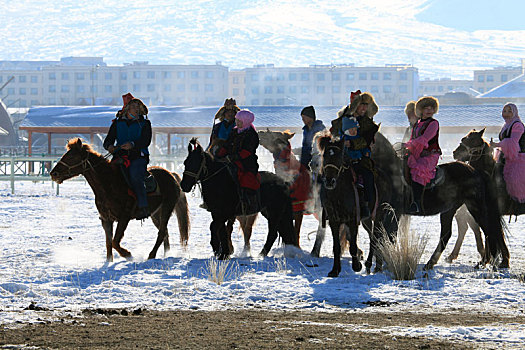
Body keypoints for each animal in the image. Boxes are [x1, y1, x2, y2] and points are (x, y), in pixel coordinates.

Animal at [49, 138, 190, 262]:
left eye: (72, 156)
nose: (53, 174)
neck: (109, 184)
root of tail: (171, 175)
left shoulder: (124, 218)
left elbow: (115, 242)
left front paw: (128, 255)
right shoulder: (106, 219)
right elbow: (108, 242)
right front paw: (109, 261)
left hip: (166, 208)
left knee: (161, 233)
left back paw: (151, 255)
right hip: (155, 214)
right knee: (164, 232)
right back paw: (166, 254)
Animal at [368, 131, 508, 270]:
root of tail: (476, 172)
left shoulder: (394, 212)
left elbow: (387, 236)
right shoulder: (382, 211)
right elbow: (378, 235)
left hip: (475, 207)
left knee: (489, 230)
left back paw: (492, 262)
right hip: (450, 210)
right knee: (447, 234)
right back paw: (431, 262)